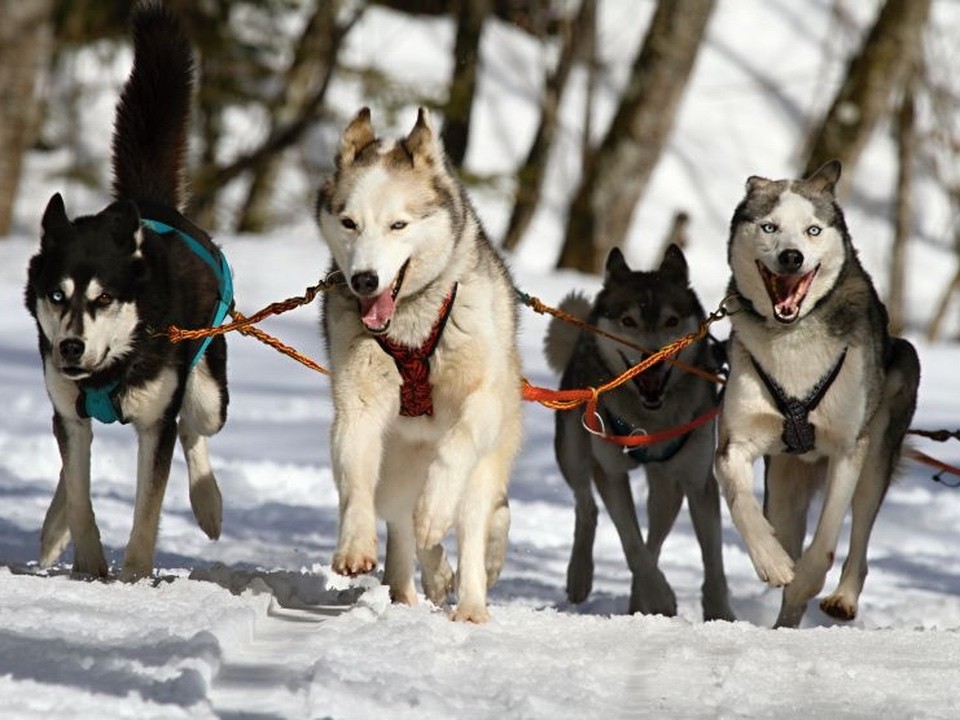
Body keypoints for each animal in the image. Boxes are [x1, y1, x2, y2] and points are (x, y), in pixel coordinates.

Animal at [25, 1, 229, 580]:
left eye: (103, 298)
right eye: (57, 295)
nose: (71, 346)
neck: (110, 368)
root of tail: (150, 203)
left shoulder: (155, 423)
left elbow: (148, 507)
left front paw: (135, 575)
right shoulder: (70, 411)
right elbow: (78, 490)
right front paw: (90, 564)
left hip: (208, 390)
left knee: (194, 428)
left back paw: (208, 505)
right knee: (69, 464)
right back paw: (53, 529)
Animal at [316, 104, 520, 620]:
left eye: (399, 225)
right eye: (349, 223)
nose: (365, 280)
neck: (410, 324)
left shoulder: (480, 402)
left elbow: (455, 450)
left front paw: (435, 510)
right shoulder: (357, 407)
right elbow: (355, 478)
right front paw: (354, 545)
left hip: (486, 465)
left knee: (472, 524)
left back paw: (470, 606)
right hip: (395, 470)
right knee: (402, 526)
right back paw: (412, 588)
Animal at [544, 246, 732, 620]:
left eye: (671, 321)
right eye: (628, 321)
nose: (653, 357)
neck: (650, 419)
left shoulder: (698, 481)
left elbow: (712, 560)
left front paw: (720, 614)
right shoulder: (611, 472)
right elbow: (631, 543)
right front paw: (660, 597)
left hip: (668, 486)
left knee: (656, 535)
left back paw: (636, 601)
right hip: (572, 450)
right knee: (586, 507)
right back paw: (580, 575)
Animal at [716, 160, 920, 628]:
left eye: (812, 230)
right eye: (769, 227)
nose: (792, 256)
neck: (792, 339)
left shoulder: (847, 448)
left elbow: (825, 542)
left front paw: (807, 578)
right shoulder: (735, 443)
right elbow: (741, 501)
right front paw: (772, 561)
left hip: (877, 451)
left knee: (859, 535)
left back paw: (841, 597)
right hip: (784, 484)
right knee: (786, 526)